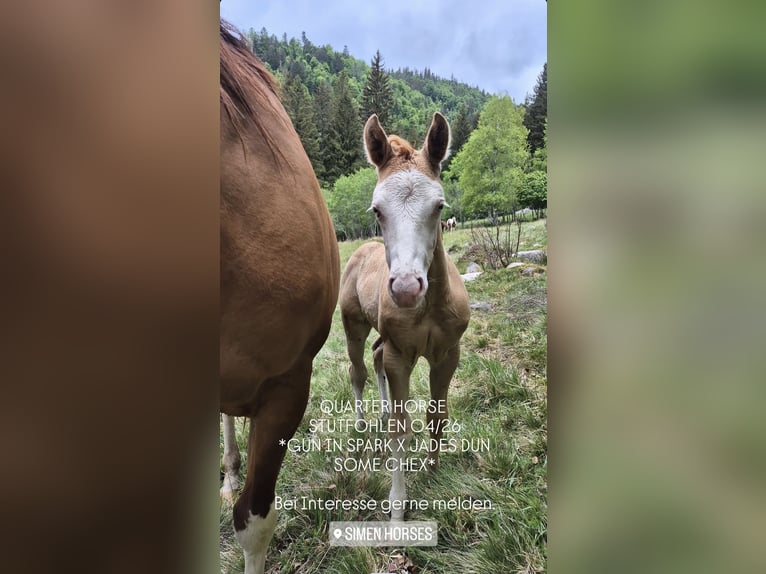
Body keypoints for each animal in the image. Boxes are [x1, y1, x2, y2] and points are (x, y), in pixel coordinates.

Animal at [339, 113, 470, 520]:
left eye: (439, 206)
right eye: (377, 210)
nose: (407, 288)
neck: (428, 308)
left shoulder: (448, 355)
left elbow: (436, 415)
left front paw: (433, 467)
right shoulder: (402, 356)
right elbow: (401, 428)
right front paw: (397, 506)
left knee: (376, 356)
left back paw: (380, 411)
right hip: (353, 326)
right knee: (358, 369)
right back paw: (363, 422)